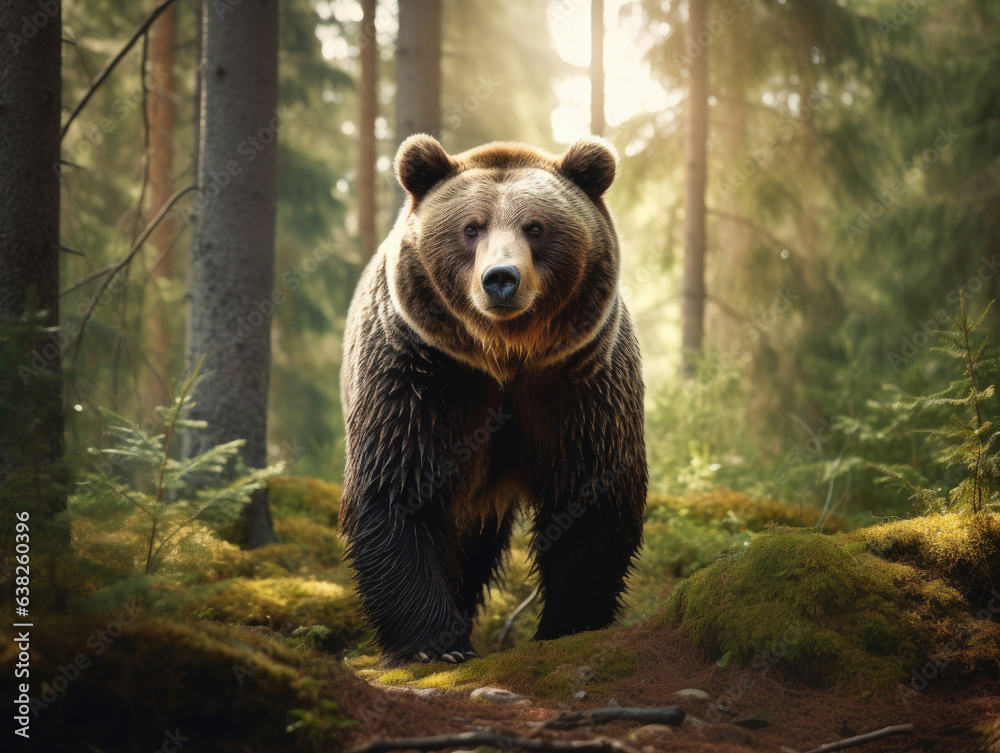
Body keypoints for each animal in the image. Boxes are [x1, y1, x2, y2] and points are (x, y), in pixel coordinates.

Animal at [339, 133, 647, 665]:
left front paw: (567, 625)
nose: (501, 277)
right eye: (471, 227)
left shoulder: (577, 384)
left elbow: (592, 496)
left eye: (536, 227)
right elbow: (398, 491)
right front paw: (435, 644)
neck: (504, 355)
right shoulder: (422, 377)